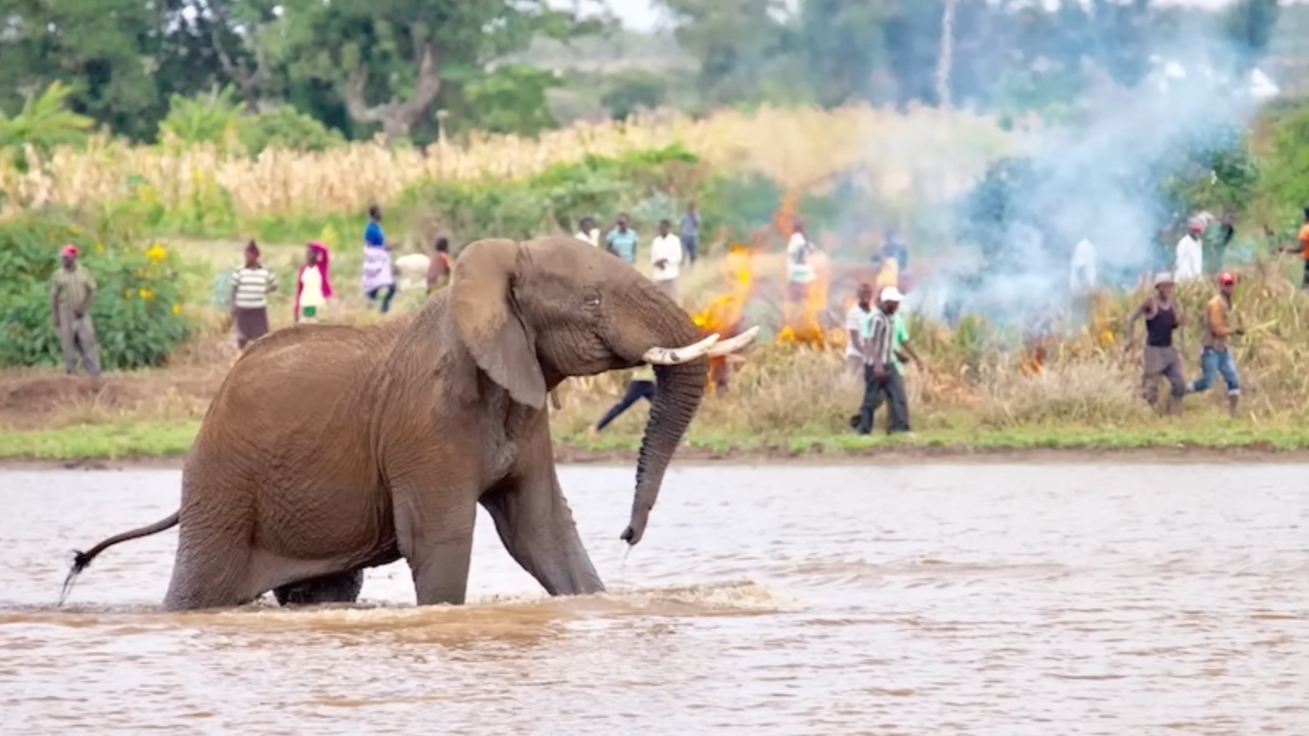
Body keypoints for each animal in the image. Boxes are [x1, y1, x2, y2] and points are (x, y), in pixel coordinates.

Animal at [60, 236, 758, 612]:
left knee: (327, 590)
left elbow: (541, 531)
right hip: (223, 486)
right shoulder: (427, 422)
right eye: (591, 302)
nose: (630, 534)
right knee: (201, 589)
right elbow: (441, 539)